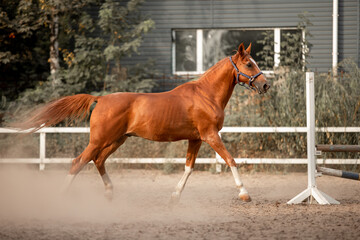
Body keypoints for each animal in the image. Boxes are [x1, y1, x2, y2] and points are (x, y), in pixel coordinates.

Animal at [18, 42, 268, 202]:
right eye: (249, 64)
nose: (265, 85)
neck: (205, 94)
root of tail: (100, 99)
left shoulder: (196, 139)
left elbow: (188, 168)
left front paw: (175, 196)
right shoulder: (210, 135)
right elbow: (231, 160)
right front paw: (244, 194)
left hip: (117, 140)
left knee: (98, 161)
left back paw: (109, 193)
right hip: (99, 140)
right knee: (78, 162)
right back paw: (62, 196)